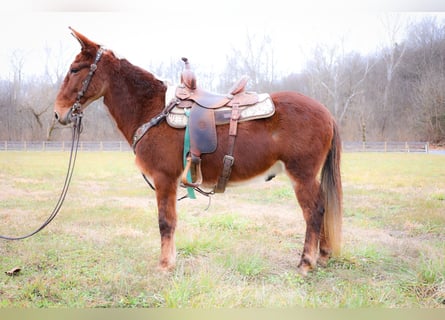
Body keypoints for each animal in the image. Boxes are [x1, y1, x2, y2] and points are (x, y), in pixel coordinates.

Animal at [53, 28, 342, 276]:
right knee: (323, 206)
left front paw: (165, 265)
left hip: (301, 176)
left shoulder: (165, 179)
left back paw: (306, 263)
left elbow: (166, 221)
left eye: (75, 69)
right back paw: (323, 255)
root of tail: (326, 112)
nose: (58, 113)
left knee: (314, 211)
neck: (151, 109)